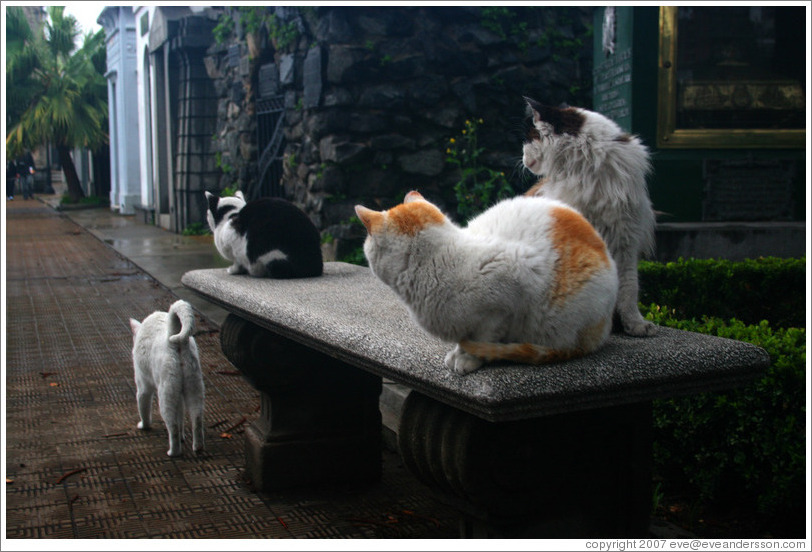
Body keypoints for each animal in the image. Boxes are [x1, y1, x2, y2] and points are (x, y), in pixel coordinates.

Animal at [129, 300, 206, 454]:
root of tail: (174, 339)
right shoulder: (180, 397)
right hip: (194, 389)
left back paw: (173, 451)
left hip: (166, 393)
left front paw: (143, 425)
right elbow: (180, 416)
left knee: (172, 426)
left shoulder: (143, 386)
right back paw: (197, 447)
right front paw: (183, 437)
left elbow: (143, 408)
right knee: (197, 420)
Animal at [354, 190, 616, 376]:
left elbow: (483, 337)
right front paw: (459, 352)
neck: (436, 262)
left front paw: (468, 358)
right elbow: (465, 337)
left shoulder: (510, 287)